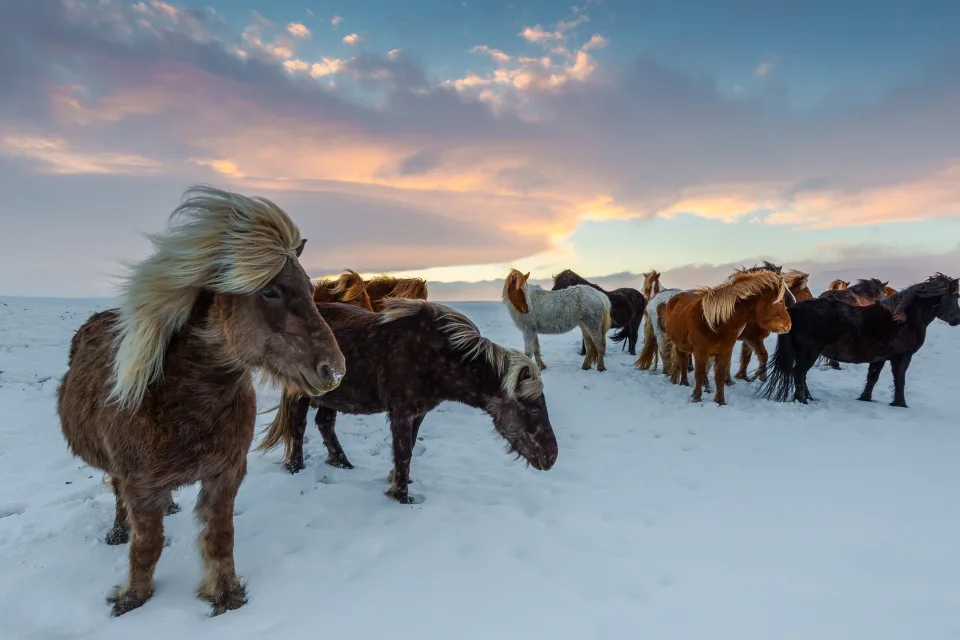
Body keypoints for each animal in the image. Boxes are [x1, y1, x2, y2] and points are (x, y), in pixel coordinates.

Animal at [55, 186, 346, 616]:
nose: (334, 371)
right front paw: (132, 598)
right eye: (270, 290)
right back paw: (119, 531)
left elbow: (220, 537)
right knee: (117, 495)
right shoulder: (140, 486)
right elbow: (147, 545)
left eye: (311, 290)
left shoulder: (225, 475)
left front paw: (226, 596)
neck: (185, 402)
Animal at [258, 300, 559, 504]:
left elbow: (409, 448)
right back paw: (296, 467)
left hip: (331, 396)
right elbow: (403, 451)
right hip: (301, 395)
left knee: (324, 423)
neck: (436, 355)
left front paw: (397, 480)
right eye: (534, 407)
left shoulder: (418, 413)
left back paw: (343, 464)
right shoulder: (401, 412)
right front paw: (402, 496)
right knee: (298, 427)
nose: (551, 457)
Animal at [662, 270, 792, 405]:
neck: (715, 322)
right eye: (781, 301)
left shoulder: (725, 352)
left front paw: (720, 401)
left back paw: (707, 387)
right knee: (683, 362)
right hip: (681, 345)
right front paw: (696, 398)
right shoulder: (701, 352)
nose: (789, 325)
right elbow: (699, 374)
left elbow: (719, 376)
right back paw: (684, 383)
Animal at [757, 273, 960, 408]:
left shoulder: (879, 358)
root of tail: (793, 309)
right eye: (955, 296)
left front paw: (865, 398)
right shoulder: (902, 357)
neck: (903, 318)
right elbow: (900, 379)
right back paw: (803, 400)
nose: (956, 320)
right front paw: (900, 404)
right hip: (808, 353)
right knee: (798, 373)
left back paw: (809, 398)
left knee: (800, 374)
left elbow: (872, 378)